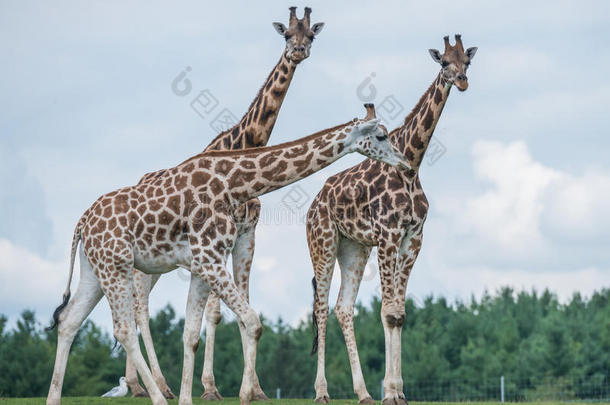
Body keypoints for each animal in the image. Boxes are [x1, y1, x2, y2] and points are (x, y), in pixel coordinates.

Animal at [46, 105, 408, 404]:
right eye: (381, 135)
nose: (403, 162)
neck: (234, 184)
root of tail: (82, 223)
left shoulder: (201, 264)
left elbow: (191, 334)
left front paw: (192, 398)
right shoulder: (209, 256)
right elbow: (253, 321)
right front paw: (246, 394)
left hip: (95, 269)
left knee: (69, 321)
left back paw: (54, 398)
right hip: (116, 266)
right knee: (122, 329)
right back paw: (158, 397)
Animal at [120, 6, 326, 398]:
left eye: (311, 35)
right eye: (286, 34)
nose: (298, 52)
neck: (244, 144)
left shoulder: (247, 233)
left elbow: (241, 307)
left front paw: (256, 389)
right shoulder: (216, 239)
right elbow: (216, 313)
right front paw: (211, 388)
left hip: (156, 263)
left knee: (140, 302)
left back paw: (142, 385)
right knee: (139, 307)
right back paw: (154, 386)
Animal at [306, 35, 478, 404]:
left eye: (467, 61)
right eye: (444, 62)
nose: (462, 82)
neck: (412, 166)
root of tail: (313, 205)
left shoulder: (413, 238)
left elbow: (398, 314)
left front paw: (398, 390)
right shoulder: (387, 235)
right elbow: (387, 311)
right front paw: (390, 392)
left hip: (354, 248)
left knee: (343, 307)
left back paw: (362, 393)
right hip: (323, 243)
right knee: (321, 308)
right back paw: (322, 392)